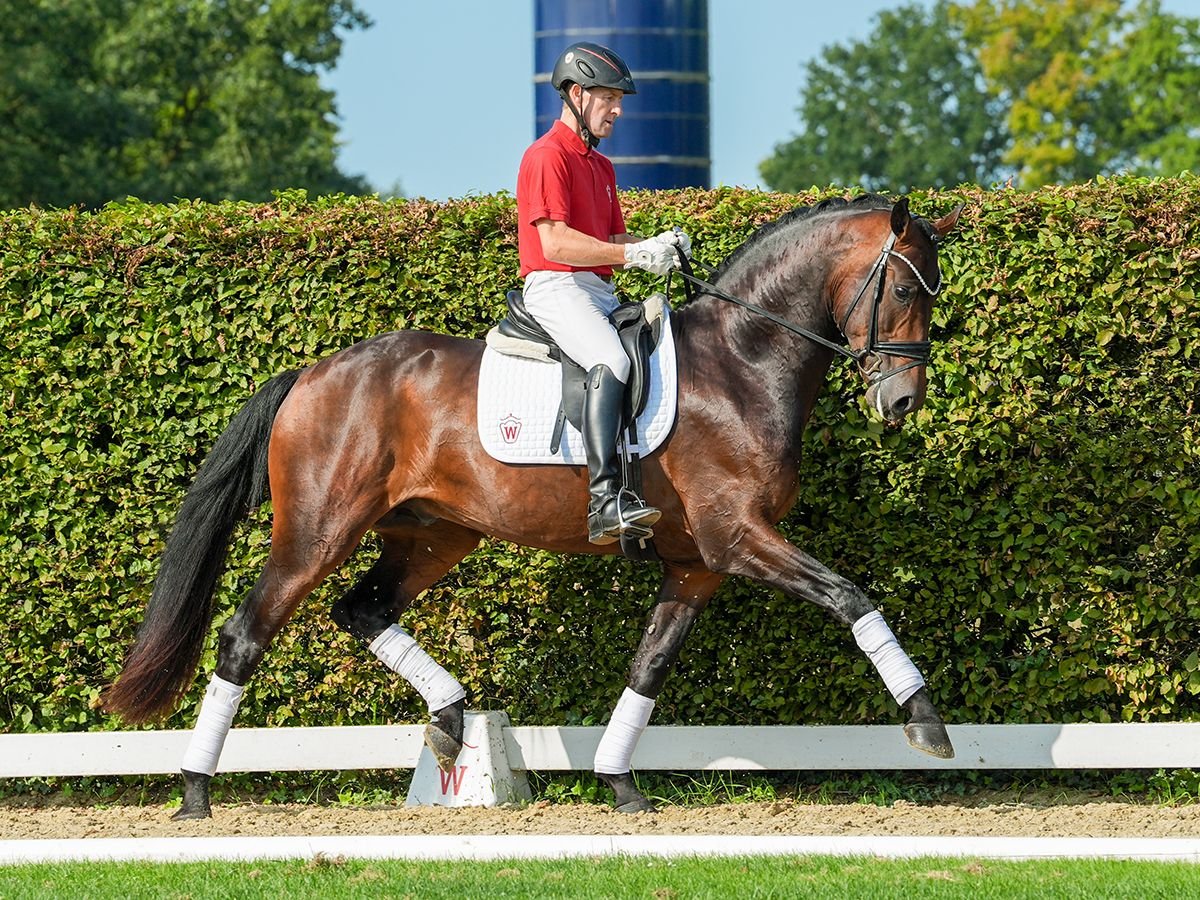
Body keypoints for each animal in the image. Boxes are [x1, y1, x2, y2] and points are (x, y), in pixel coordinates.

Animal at [103, 192, 964, 816]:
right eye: (902, 287)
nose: (902, 403)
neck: (741, 364)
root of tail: (312, 373)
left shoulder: (698, 564)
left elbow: (648, 667)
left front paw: (620, 784)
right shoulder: (738, 537)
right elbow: (850, 595)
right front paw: (926, 721)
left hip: (434, 535)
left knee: (363, 609)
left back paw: (452, 722)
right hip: (316, 533)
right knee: (246, 635)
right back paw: (194, 793)